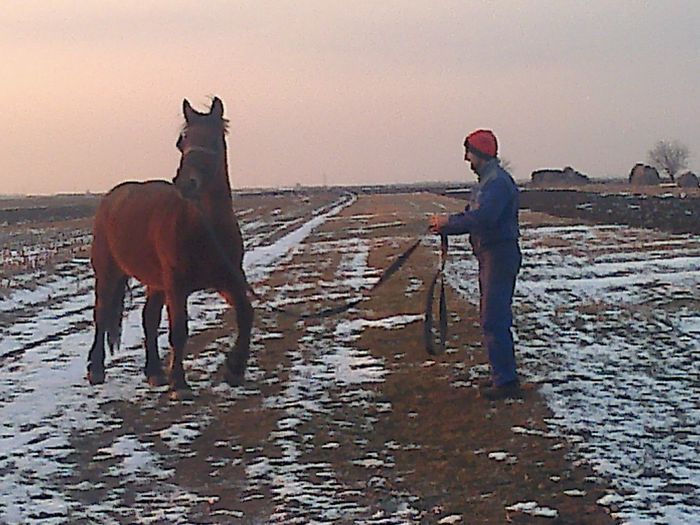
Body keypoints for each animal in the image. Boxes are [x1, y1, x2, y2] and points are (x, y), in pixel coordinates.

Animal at [86, 96, 253, 400]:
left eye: (213, 140)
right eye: (181, 142)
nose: (186, 183)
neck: (205, 228)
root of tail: (111, 197)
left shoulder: (228, 280)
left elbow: (246, 314)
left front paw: (234, 369)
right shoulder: (177, 285)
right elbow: (179, 331)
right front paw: (180, 383)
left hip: (155, 283)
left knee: (148, 319)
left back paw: (154, 372)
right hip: (108, 273)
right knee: (102, 315)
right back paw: (97, 370)